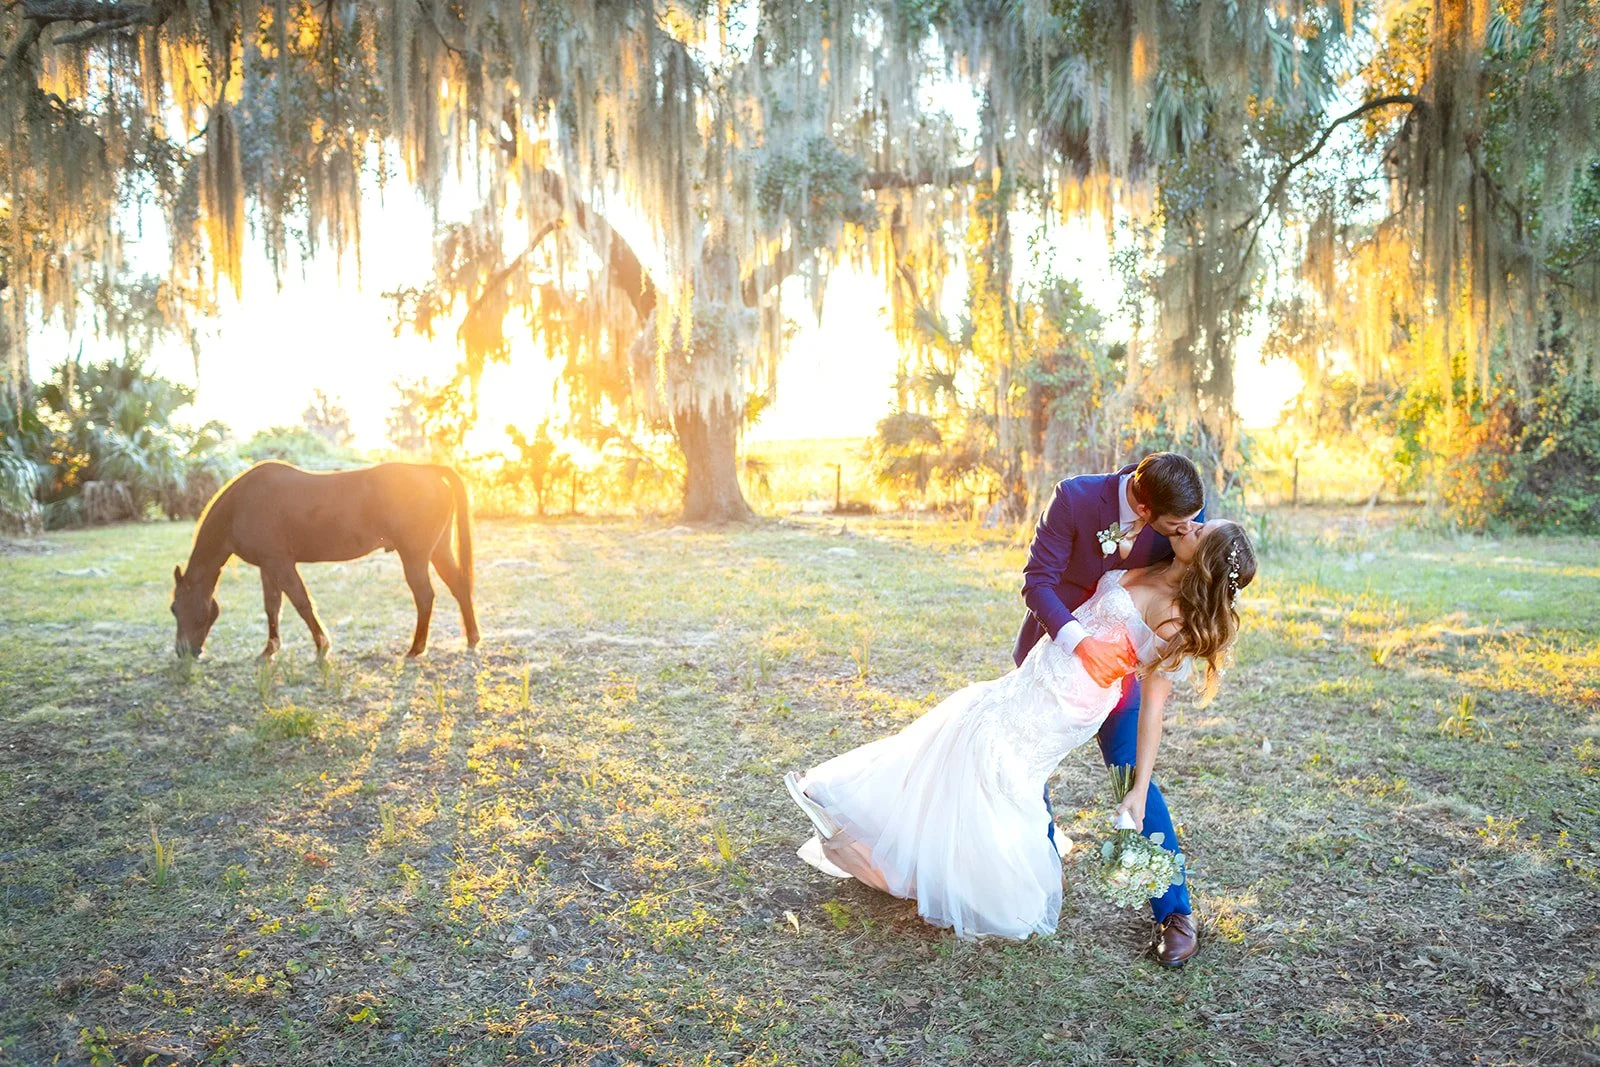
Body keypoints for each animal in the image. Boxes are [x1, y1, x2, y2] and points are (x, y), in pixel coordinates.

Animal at [170, 461, 480, 659]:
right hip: (439, 551)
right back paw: (472, 638)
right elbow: (272, 607)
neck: (240, 506)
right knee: (459, 586)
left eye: (179, 608)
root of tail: (429, 470)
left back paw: (416, 648)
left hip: (414, 557)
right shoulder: (268, 567)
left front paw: (321, 645)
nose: (183, 652)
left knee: (425, 596)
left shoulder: (281, 564)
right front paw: (270, 649)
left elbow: (302, 603)